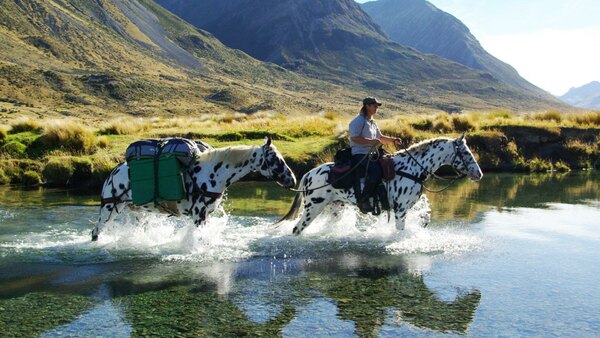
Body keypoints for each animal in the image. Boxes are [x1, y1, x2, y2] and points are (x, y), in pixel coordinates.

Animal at [92, 137, 296, 240]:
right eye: (274, 158)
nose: (292, 180)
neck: (213, 172)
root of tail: (112, 173)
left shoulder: (206, 215)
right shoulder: (198, 214)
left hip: (139, 212)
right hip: (109, 209)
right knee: (96, 232)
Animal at [278, 135, 482, 235]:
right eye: (465, 151)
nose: (478, 173)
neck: (413, 167)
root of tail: (308, 174)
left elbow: (425, 214)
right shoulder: (400, 209)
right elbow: (400, 231)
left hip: (334, 208)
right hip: (313, 207)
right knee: (297, 229)